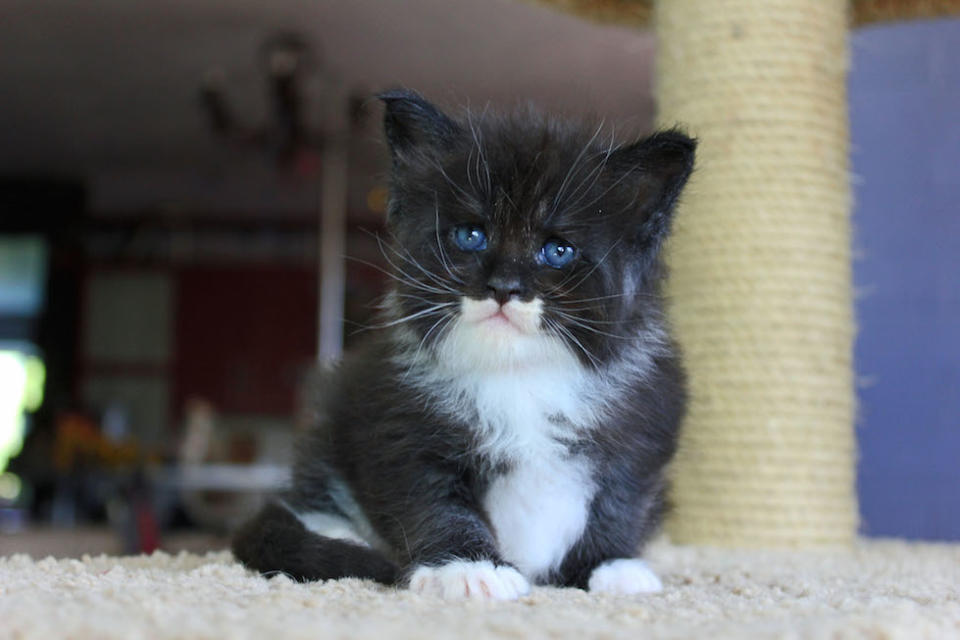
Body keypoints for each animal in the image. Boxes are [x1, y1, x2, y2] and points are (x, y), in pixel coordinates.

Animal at [232, 90, 696, 600]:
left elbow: (619, 502)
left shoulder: (644, 428)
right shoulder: (399, 425)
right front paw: (469, 567)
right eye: (471, 235)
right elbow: (435, 503)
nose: (504, 287)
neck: (520, 375)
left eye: (558, 250)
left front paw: (607, 565)